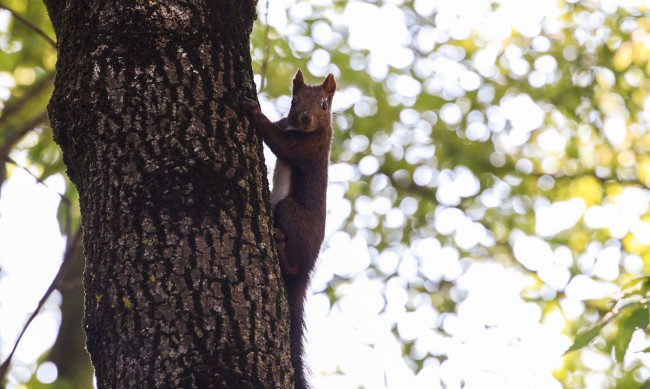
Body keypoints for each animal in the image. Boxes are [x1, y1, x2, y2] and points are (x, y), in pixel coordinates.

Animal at [240, 70, 336, 388]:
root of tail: (308, 269)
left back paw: (283, 251)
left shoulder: (310, 148)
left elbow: (280, 143)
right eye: (294, 100)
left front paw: (255, 113)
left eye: (324, 105)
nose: (305, 118)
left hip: (289, 211)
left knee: (294, 265)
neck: (305, 130)